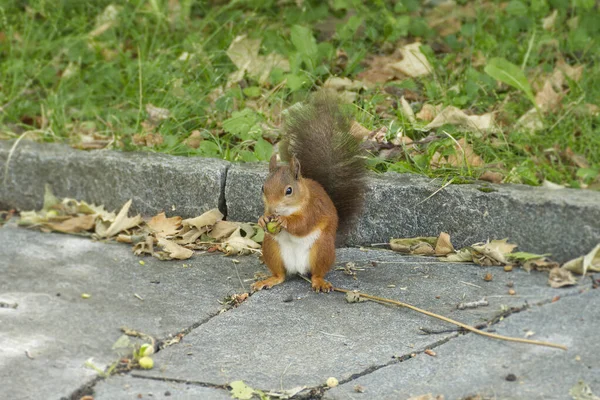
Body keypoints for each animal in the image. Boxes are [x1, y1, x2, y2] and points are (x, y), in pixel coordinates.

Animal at [250, 94, 366, 294]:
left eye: (289, 190)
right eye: (262, 188)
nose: (272, 211)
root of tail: (298, 269)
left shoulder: (314, 208)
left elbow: (303, 224)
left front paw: (284, 221)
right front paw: (263, 219)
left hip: (322, 249)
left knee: (317, 272)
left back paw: (320, 282)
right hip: (272, 248)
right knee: (280, 275)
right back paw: (269, 280)